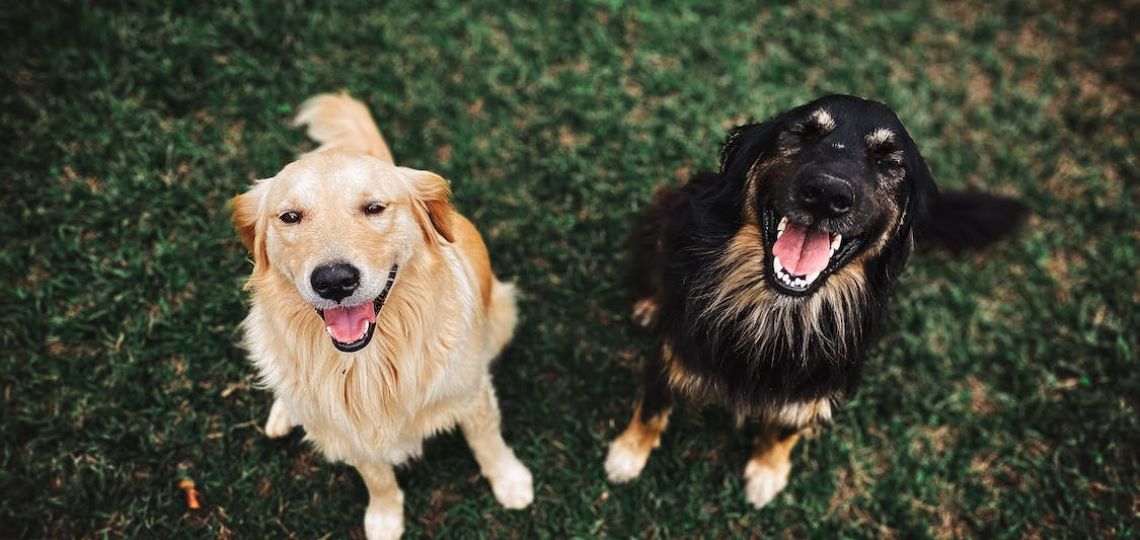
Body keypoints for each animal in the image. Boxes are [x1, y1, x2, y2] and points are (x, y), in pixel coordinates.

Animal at [606, 95, 1026, 508]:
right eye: (804, 134)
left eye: (888, 161)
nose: (827, 194)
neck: (778, 309)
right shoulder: (673, 349)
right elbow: (653, 407)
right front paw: (628, 454)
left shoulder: (815, 386)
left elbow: (785, 428)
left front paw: (767, 471)